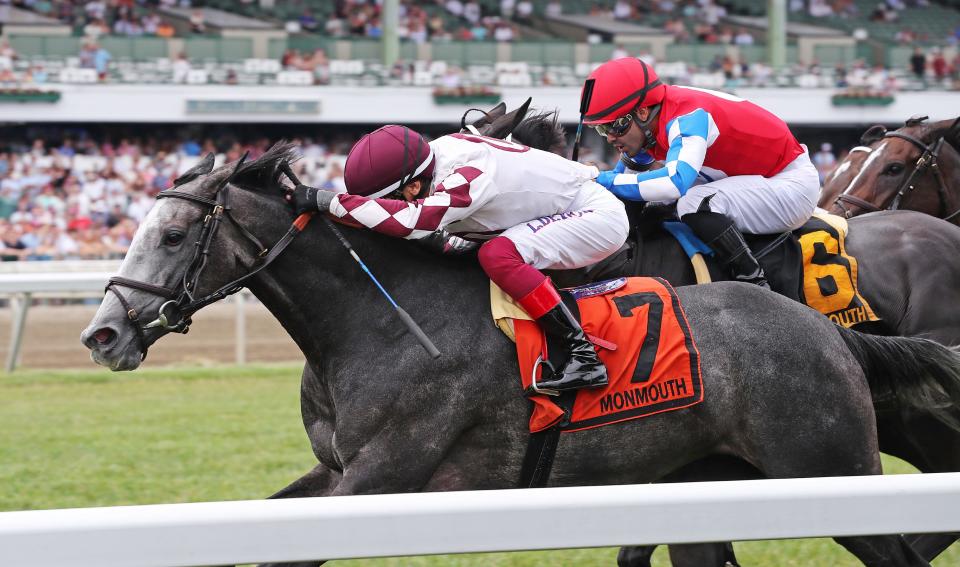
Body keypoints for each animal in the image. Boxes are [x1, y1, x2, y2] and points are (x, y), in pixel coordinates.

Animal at [79, 149, 960, 564]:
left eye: (170, 234)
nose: (103, 334)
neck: (381, 318)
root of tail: (831, 331)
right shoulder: (336, 470)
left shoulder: (384, 472)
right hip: (713, 480)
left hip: (831, 464)